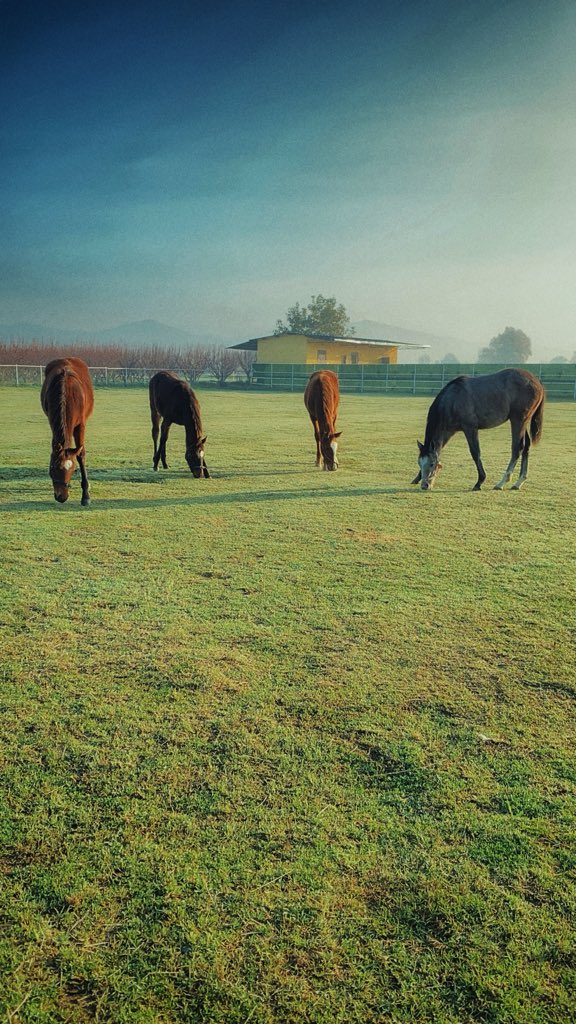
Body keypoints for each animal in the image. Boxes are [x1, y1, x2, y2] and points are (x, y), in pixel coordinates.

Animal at [40, 357, 94, 506]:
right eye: (52, 468)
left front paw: (85, 495)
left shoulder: (81, 424)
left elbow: (81, 453)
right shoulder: (52, 420)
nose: (61, 496)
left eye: (73, 469)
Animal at [412, 368, 544, 491]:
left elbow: (475, 453)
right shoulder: (448, 431)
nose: (425, 485)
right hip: (523, 422)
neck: (452, 400)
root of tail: (537, 382)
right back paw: (519, 482)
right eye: (419, 463)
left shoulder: (470, 428)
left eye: (431, 464)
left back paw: (502, 482)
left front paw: (480, 481)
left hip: (518, 420)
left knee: (517, 448)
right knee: (526, 447)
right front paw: (417, 478)